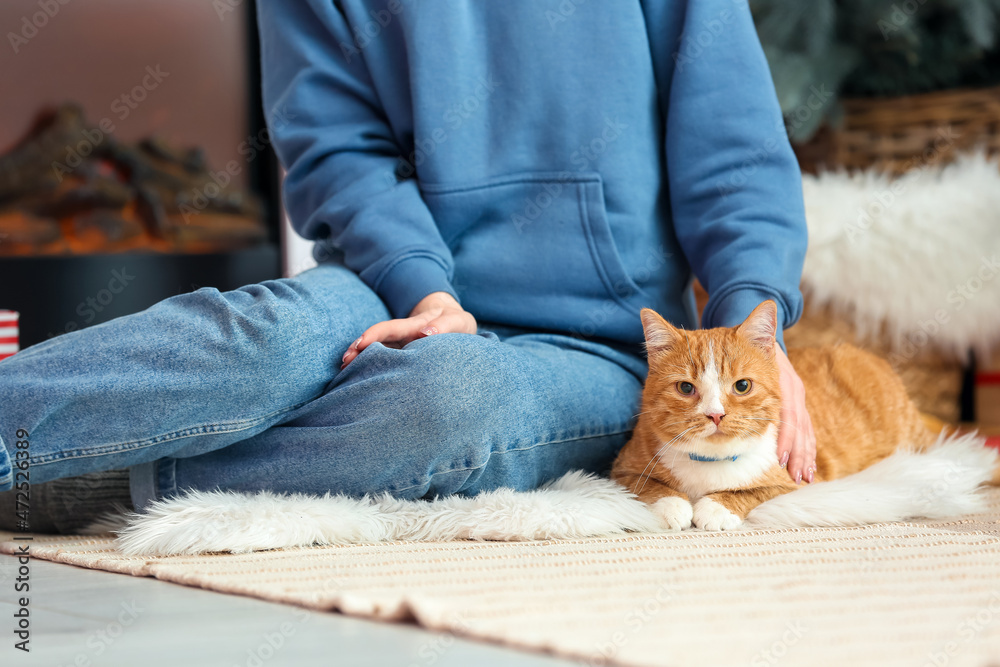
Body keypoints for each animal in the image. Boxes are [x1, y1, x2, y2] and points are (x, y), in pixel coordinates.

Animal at [612, 302, 948, 532]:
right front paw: (670, 503)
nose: (715, 415)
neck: (711, 464)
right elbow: (645, 484)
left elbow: (755, 490)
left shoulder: (800, 480)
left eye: (742, 386)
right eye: (685, 387)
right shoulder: (621, 469)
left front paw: (718, 506)